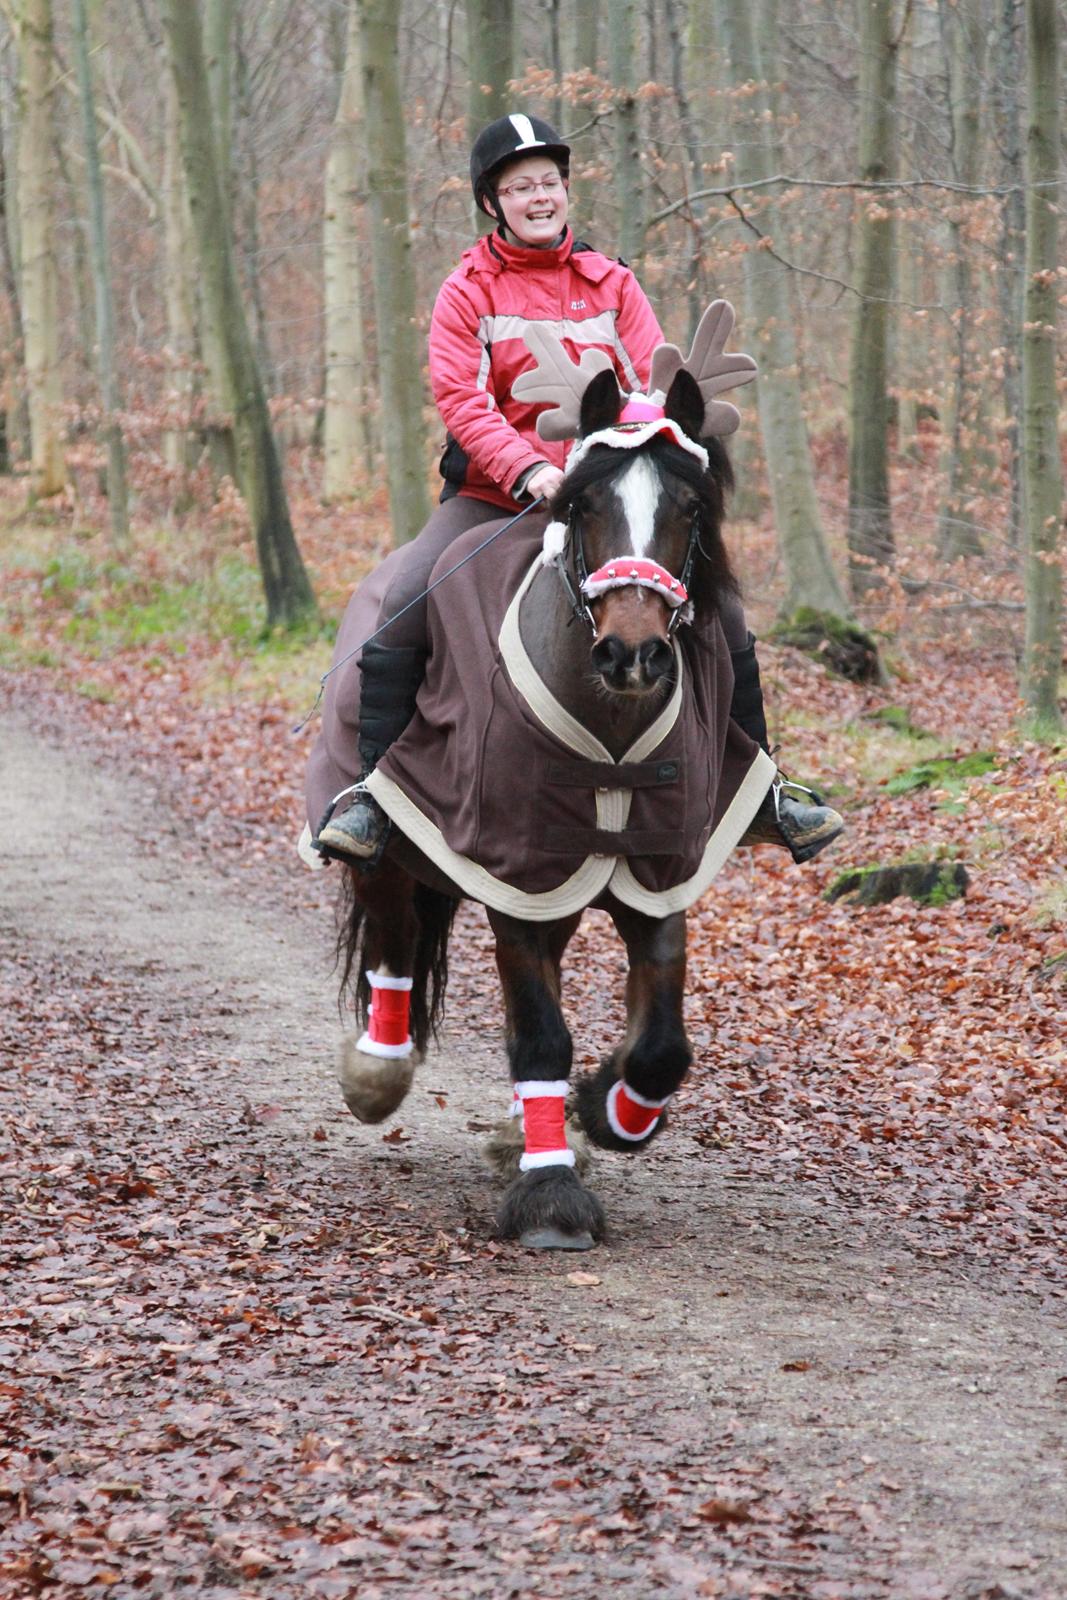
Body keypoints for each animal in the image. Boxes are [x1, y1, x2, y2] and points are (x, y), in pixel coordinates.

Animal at [303, 302, 771, 1248]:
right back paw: (378, 1072)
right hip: (393, 845)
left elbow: (663, 1048)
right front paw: (550, 1196)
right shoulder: (514, 880)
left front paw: (605, 1111)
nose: (632, 654)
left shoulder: (656, 875)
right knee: (393, 938)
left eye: (691, 506)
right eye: (581, 503)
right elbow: (539, 1036)